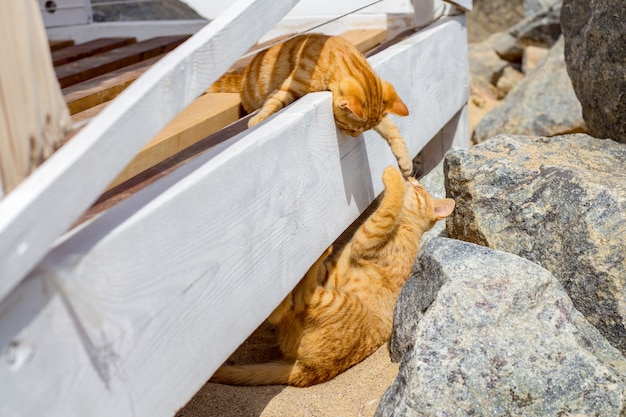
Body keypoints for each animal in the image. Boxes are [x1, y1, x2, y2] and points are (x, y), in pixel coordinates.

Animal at [210, 33, 414, 176]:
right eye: (352, 128)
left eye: (362, 131)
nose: (354, 136)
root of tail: (243, 76)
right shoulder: (292, 85)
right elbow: (274, 101)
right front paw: (257, 121)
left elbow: (392, 129)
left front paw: (405, 162)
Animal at [210, 164, 454, 386]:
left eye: (419, 187)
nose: (410, 178)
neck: (408, 227)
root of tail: (310, 371)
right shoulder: (335, 271)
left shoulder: (369, 237)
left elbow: (387, 209)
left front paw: (392, 177)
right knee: (292, 305)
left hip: (340, 302)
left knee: (292, 306)